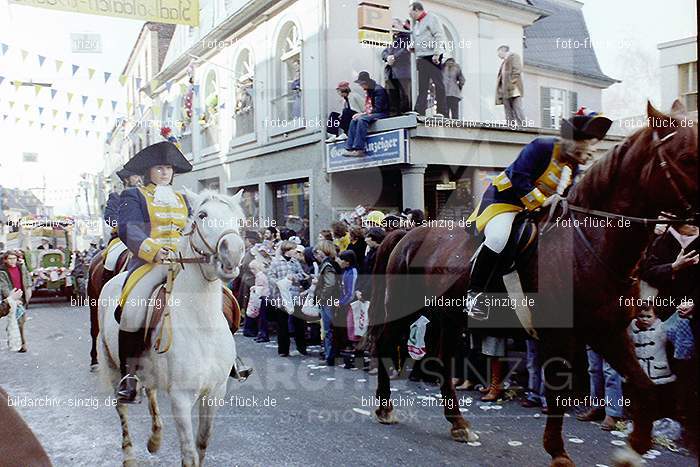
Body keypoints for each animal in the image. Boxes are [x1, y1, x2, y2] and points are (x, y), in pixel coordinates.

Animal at [98, 189, 246, 467]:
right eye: (202, 215)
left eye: (239, 218)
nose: (232, 252)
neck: (203, 326)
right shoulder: (181, 398)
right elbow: (189, 454)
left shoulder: (215, 392)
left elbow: (202, 444)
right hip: (111, 364)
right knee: (122, 409)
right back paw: (129, 455)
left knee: (150, 391)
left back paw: (155, 439)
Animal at [370, 100, 696, 466]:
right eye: (686, 156)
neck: (589, 243)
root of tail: (407, 234)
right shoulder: (560, 337)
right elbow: (557, 394)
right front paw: (558, 451)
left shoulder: (608, 332)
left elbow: (645, 389)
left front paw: (632, 448)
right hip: (406, 311)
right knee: (385, 345)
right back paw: (385, 408)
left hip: (449, 319)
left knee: (442, 361)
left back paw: (458, 423)